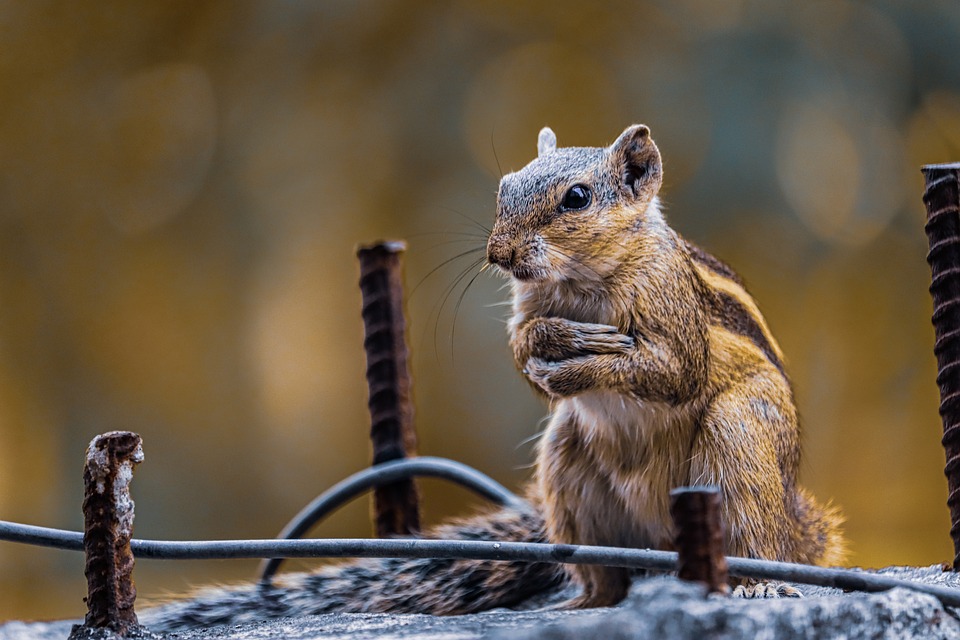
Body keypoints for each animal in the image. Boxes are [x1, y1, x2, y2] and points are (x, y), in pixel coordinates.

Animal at [143, 125, 844, 630]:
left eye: (578, 197)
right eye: (504, 187)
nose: (498, 254)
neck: (580, 282)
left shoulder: (672, 311)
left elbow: (671, 371)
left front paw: (590, 355)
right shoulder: (526, 310)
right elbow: (524, 352)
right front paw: (557, 344)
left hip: (739, 442)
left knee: (755, 535)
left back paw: (757, 579)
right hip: (567, 469)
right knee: (607, 578)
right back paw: (581, 604)